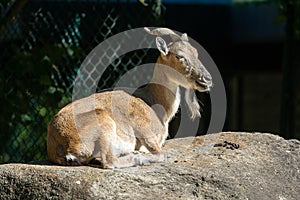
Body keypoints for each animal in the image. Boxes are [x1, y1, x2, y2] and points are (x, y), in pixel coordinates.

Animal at [47, 27, 212, 169]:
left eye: (196, 53)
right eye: (179, 56)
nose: (206, 79)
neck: (154, 102)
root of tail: (61, 145)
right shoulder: (144, 129)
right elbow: (160, 154)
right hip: (103, 123)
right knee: (109, 161)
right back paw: (137, 157)